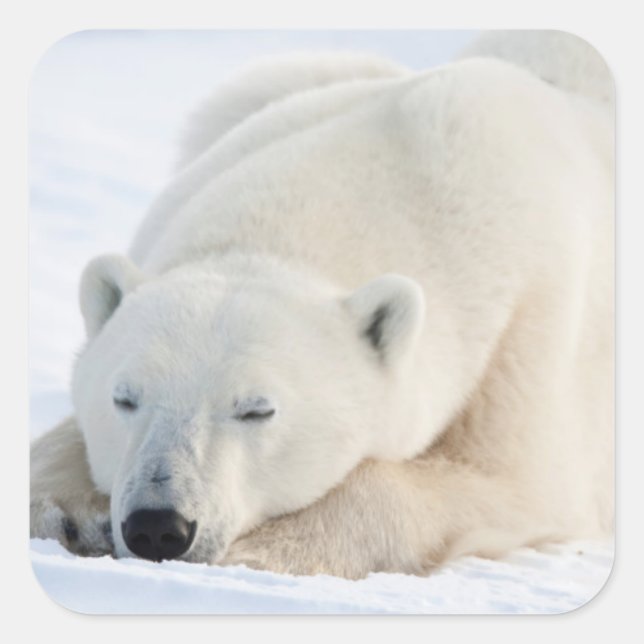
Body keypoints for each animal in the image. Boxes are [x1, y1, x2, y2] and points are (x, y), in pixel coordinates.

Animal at [30, 30, 614, 579]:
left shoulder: (529, 328)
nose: (158, 525)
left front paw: (264, 551)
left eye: (257, 409)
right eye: (124, 398)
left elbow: (511, 483)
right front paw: (63, 512)